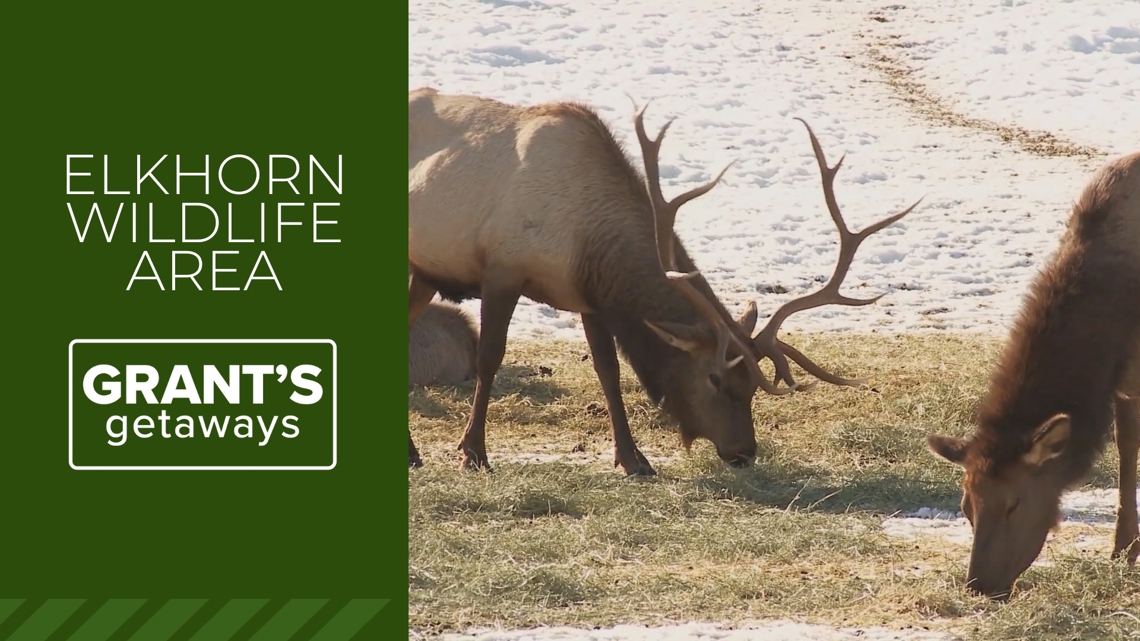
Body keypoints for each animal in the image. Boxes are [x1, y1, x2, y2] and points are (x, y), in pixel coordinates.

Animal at [925, 150, 1140, 597]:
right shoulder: (1124, 384)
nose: (979, 585)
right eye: (966, 506)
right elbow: (1127, 447)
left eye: (1014, 503)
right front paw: (1123, 551)